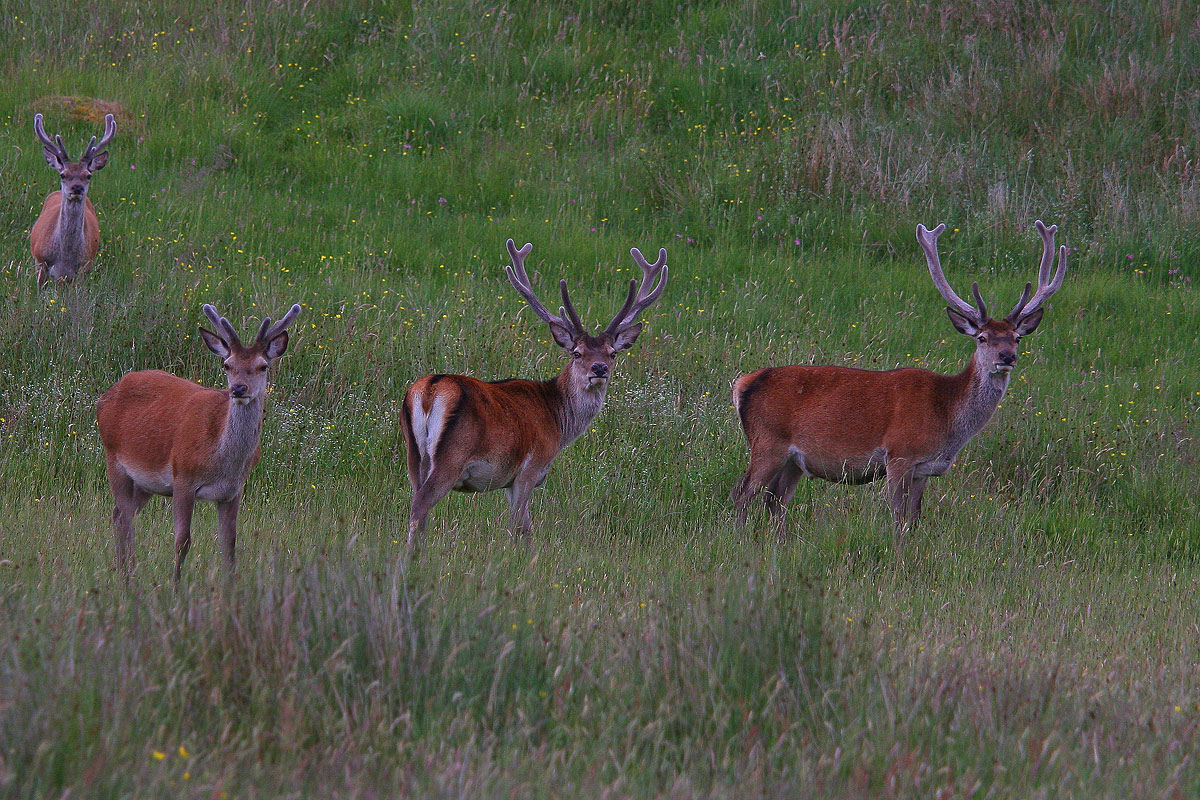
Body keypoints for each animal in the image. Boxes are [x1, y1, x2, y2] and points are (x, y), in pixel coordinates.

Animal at [30, 112, 116, 286]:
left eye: (88, 175)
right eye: (63, 174)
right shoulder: (40, 260)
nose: (77, 188)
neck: (65, 257)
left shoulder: (83, 267)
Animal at [96, 303, 301, 582]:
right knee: (123, 516)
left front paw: (229, 587)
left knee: (120, 515)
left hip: (145, 482)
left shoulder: (232, 491)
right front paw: (176, 585)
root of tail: (104, 397)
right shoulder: (183, 478)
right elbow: (182, 541)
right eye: (227, 365)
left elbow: (229, 545)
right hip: (113, 458)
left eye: (262, 366)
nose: (238, 389)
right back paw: (126, 576)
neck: (222, 460)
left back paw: (127, 572)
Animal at [401, 239, 668, 548]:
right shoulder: (530, 468)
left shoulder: (508, 480)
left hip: (413, 454)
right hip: (451, 455)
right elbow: (520, 527)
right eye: (577, 353)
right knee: (420, 504)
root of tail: (428, 390)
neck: (559, 424)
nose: (599, 368)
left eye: (612, 353)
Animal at [732, 220, 1067, 540]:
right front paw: (897, 552)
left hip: (793, 461)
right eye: (982, 338)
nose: (1007, 357)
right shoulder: (899, 454)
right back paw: (739, 541)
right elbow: (897, 518)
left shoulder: (923, 469)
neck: (946, 414)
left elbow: (914, 520)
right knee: (743, 493)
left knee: (775, 500)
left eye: (1016, 338)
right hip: (768, 441)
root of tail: (743, 383)